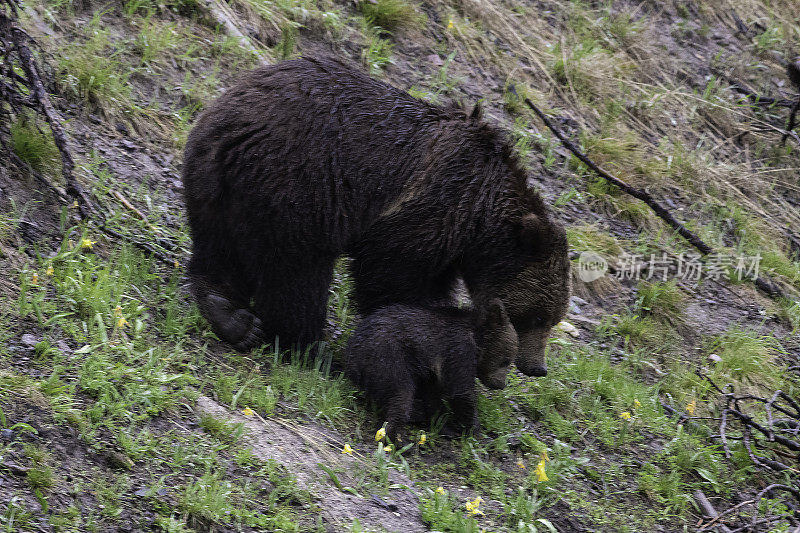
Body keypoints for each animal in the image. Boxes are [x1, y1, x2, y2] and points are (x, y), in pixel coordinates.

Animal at [181, 55, 568, 374]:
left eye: (553, 319)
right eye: (535, 317)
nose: (537, 367)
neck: (480, 221)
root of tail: (235, 129)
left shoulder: (449, 241)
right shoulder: (438, 202)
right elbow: (391, 273)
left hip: (213, 181)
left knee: (217, 248)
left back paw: (229, 313)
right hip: (297, 186)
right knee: (296, 274)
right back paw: (309, 347)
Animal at [346, 300, 520, 440]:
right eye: (506, 361)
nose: (501, 384)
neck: (476, 341)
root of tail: (353, 354)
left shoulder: (434, 372)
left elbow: (434, 398)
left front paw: (446, 428)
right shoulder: (459, 352)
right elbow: (462, 393)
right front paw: (478, 433)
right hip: (388, 357)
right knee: (401, 395)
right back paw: (398, 440)